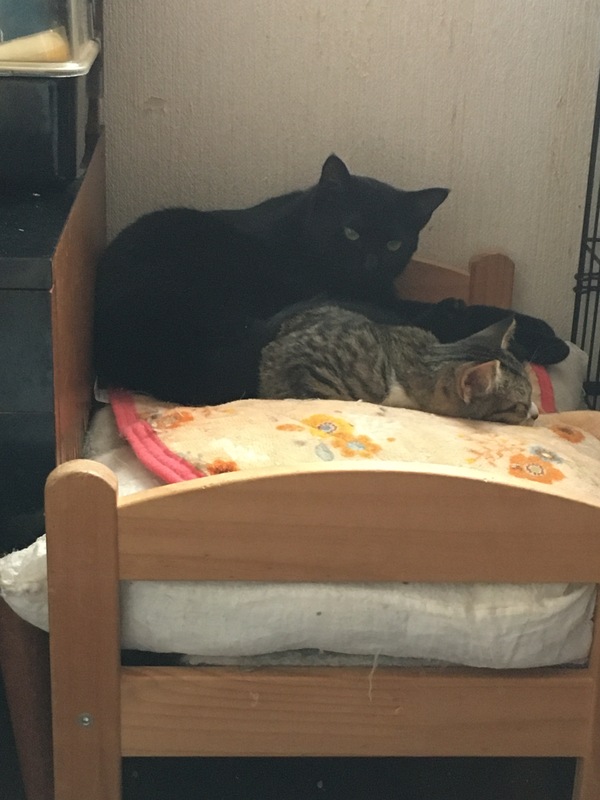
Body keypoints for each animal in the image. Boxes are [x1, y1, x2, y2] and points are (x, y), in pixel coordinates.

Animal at [94, 154, 567, 406]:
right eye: (350, 231)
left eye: (394, 243)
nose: (369, 263)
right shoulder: (377, 300)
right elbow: (454, 314)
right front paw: (540, 336)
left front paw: (542, 334)